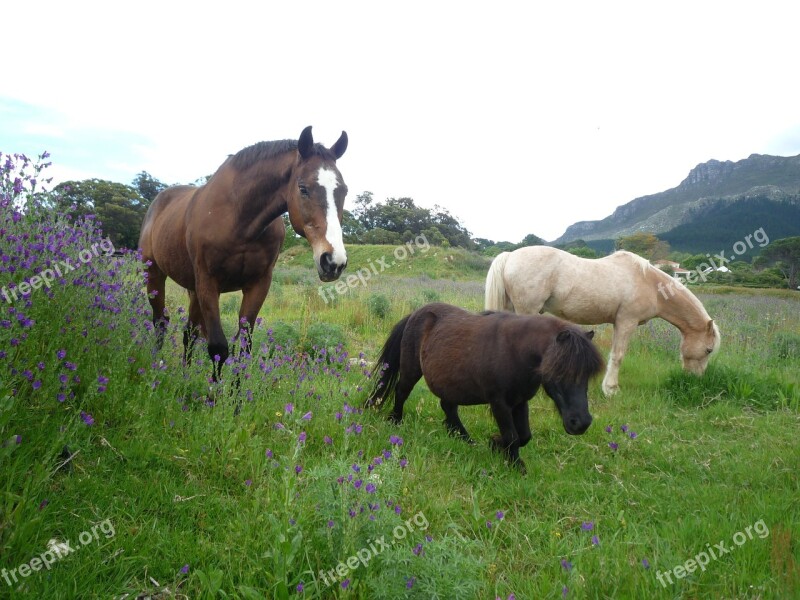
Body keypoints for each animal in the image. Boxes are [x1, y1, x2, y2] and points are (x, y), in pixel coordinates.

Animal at [137, 126, 346, 380]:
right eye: (303, 188)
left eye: (344, 191)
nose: (333, 261)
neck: (239, 221)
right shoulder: (208, 283)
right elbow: (218, 348)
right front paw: (214, 391)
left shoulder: (258, 285)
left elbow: (244, 349)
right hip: (155, 273)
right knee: (161, 321)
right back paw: (155, 366)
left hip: (192, 289)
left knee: (190, 332)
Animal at [366, 302, 604, 472]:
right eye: (559, 372)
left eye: (587, 375)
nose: (581, 423)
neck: (515, 351)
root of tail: (416, 314)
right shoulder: (499, 403)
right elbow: (513, 436)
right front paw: (512, 462)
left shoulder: (520, 401)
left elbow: (524, 435)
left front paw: (497, 446)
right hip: (411, 371)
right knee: (401, 392)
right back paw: (395, 421)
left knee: (448, 407)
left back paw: (463, 438)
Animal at [484, 246, 720, 396]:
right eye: (708, 350)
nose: (695, 379)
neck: (650, 284)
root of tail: (510, 256)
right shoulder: (626, 322)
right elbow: (618, 356)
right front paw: (611, 390)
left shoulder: (618, 323)